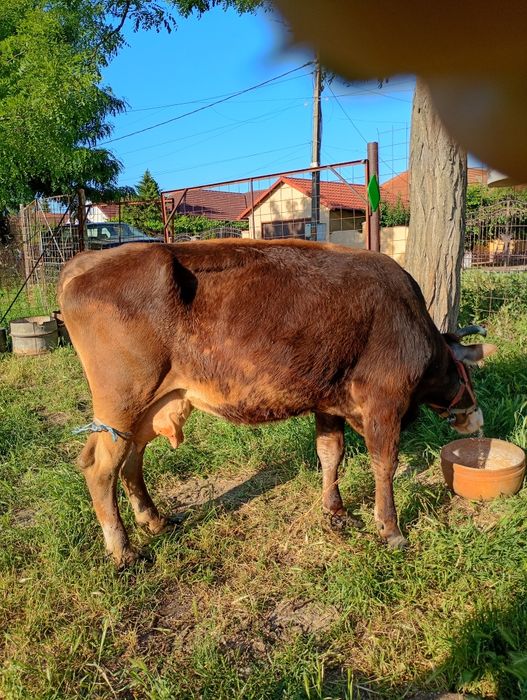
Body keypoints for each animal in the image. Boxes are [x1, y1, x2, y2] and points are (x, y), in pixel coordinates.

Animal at [58, 239, 496, 566]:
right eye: (468, 374)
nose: (477, 419)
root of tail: (87, 260)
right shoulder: (384, 402)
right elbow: (384, 465)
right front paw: (391, 530)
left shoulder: (329, 402)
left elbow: (330, 453)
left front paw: (335, 512)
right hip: (123, 400)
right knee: (100, 466)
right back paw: (123, 550)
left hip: (152, 404)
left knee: (132, 459)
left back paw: (154, 520)